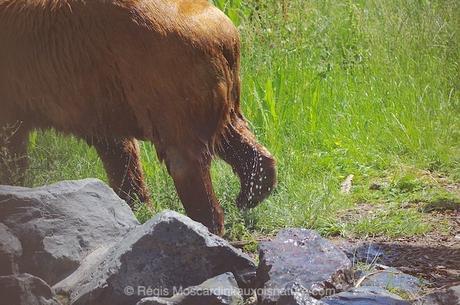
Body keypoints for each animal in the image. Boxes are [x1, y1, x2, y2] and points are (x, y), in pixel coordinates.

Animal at [0, 0, 276, 235]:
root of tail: (224, 35)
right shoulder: (99, 96)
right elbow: (117, 148)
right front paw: (135, 203)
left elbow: (9, 146)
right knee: (233, 135)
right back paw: (250, 191)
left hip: (165, 81)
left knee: (184, 158)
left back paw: (205, 220)